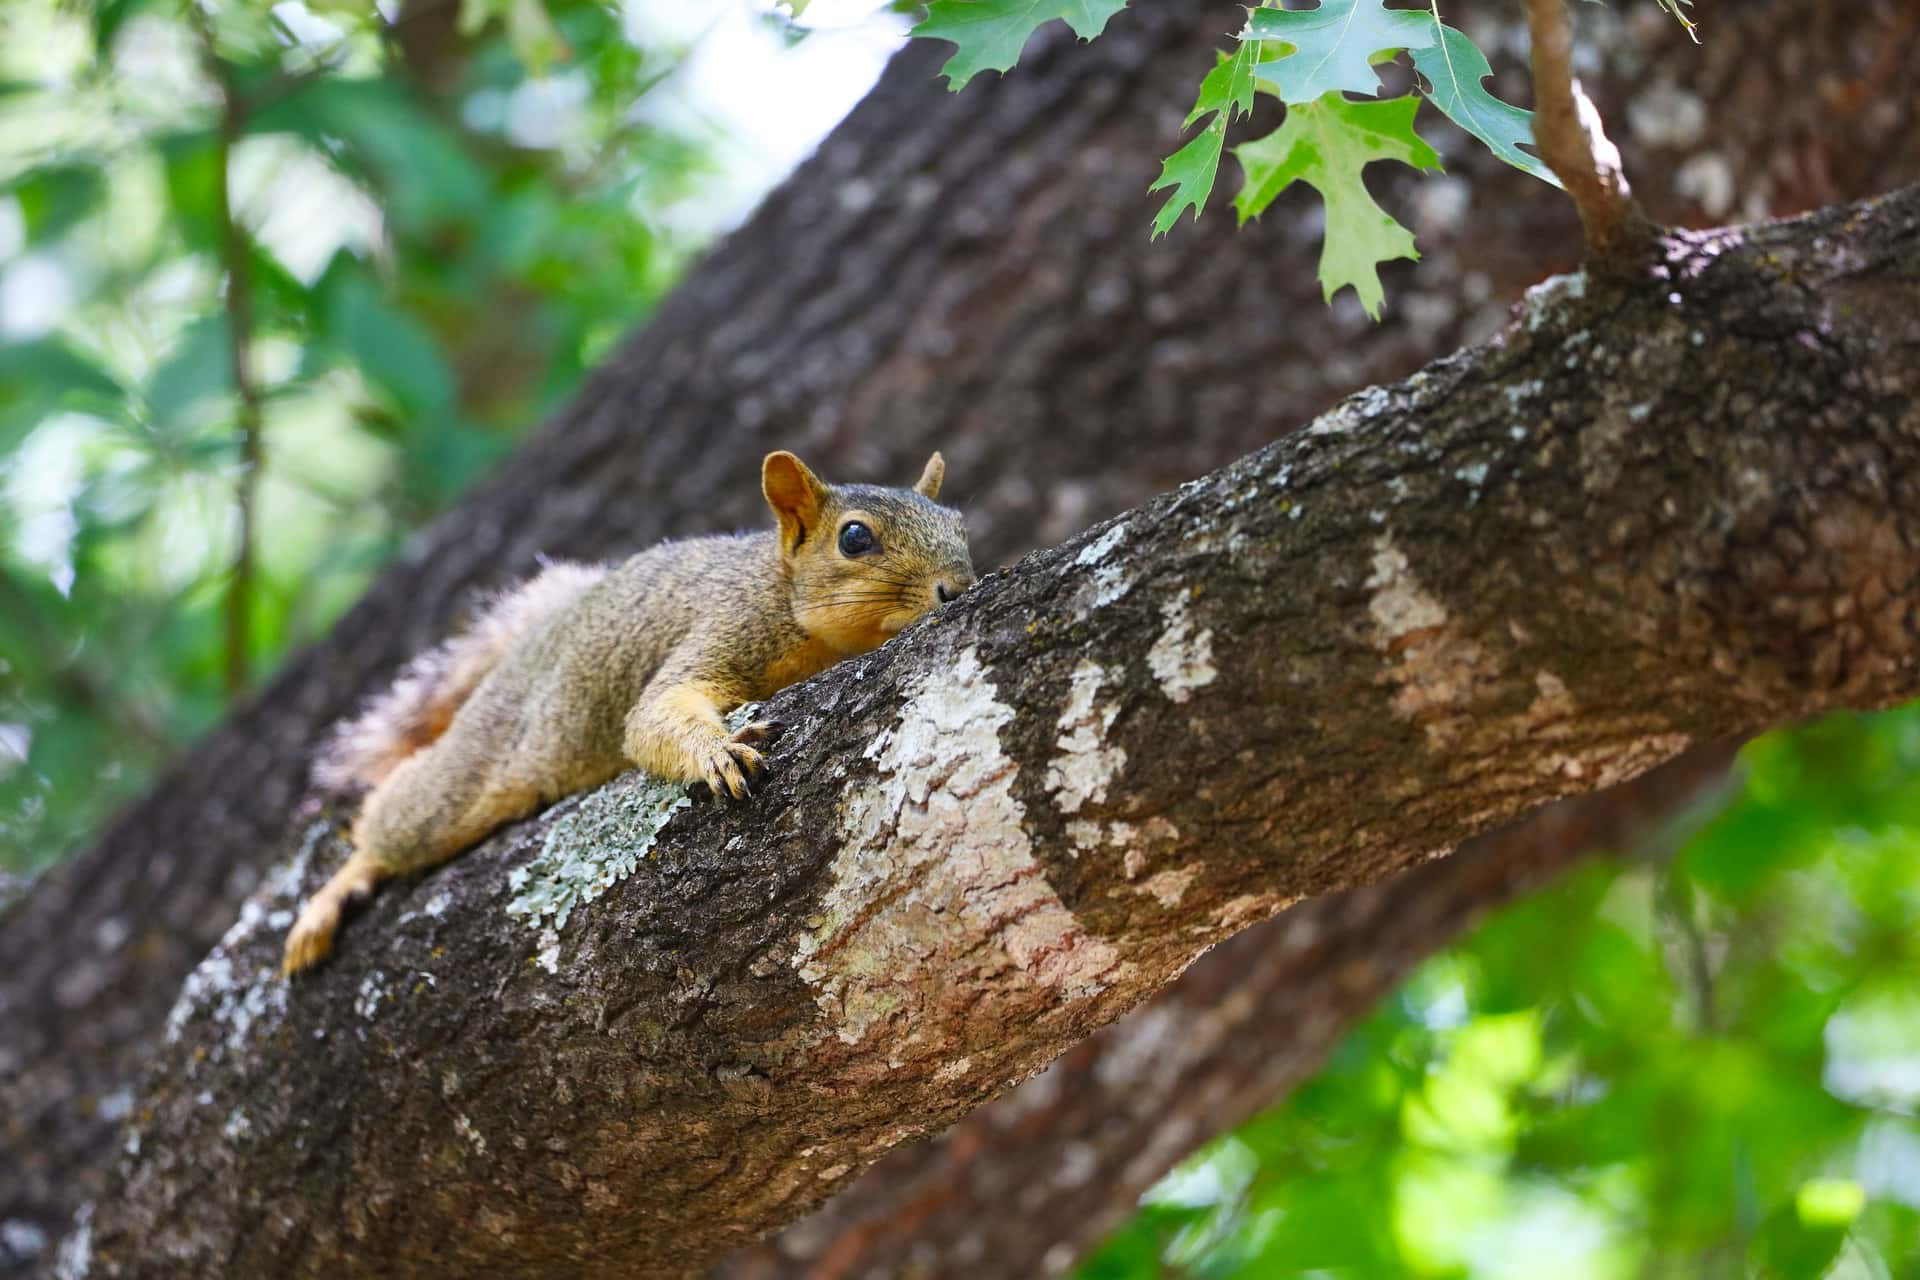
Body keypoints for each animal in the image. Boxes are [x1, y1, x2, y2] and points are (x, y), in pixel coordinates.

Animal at [280, 452, 975, 982]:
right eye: (855, 538)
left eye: (960, 523)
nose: (957, 588)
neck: (779, 584)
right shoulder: (728, 626)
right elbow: (651, 715)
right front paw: (719, 751)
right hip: (465, 774)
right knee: (395, 820)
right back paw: (332, 896)